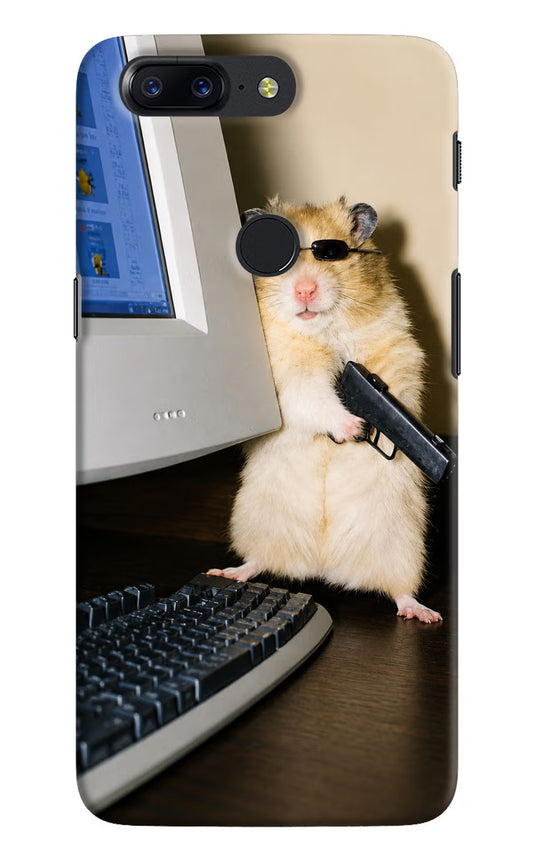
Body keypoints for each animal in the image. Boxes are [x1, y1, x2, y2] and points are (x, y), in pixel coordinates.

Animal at [208, 197, 441, 623]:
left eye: (331, 254)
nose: (305, 290)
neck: (322, 331)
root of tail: (325, 567)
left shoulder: (397, 350)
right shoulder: (288, 378)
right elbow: (314, 398)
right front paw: (353, 428)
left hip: (402, 546)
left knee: (400, 590)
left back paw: (423, 613)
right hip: (257, 523)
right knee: (258, 561)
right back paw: (228, 572)